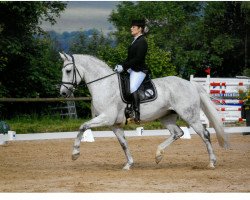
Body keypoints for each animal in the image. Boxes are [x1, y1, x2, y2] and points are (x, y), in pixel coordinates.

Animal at [59, 52, 229, 170]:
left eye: (68, 71)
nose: (63, 93)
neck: (104, 84)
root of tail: (190, 84)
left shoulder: (106, 118)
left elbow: (83, 126)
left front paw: (75, 154)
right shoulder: (114, 124)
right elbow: (123, 143)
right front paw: (129, 164)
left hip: (190, 116)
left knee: (204, 134)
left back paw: (211, 163)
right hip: (166, 117)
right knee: (178, 133)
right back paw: (158, 155)